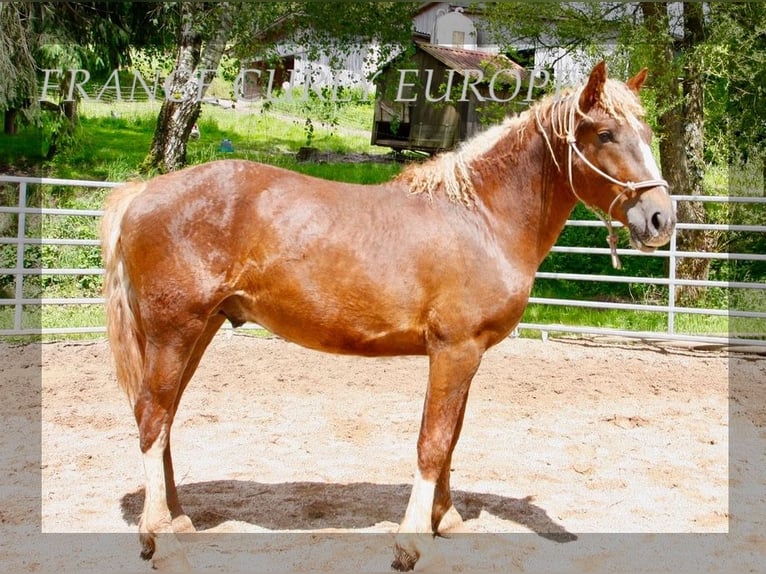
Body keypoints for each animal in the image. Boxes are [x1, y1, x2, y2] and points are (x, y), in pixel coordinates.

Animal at [100, 63, 672, 572]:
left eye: (647, 133)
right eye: (605, 134)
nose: (661, 218)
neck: (481, 218)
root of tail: (144, 192)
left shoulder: (469, 356)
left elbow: (451, 438)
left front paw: (448, 521)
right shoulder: (454, 350)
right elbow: (433, 443)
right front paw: (412, 542)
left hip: (198, 332)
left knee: (164, 419)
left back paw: (176, 523)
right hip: (175, 333)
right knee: (153, 420)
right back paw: (164, 543)